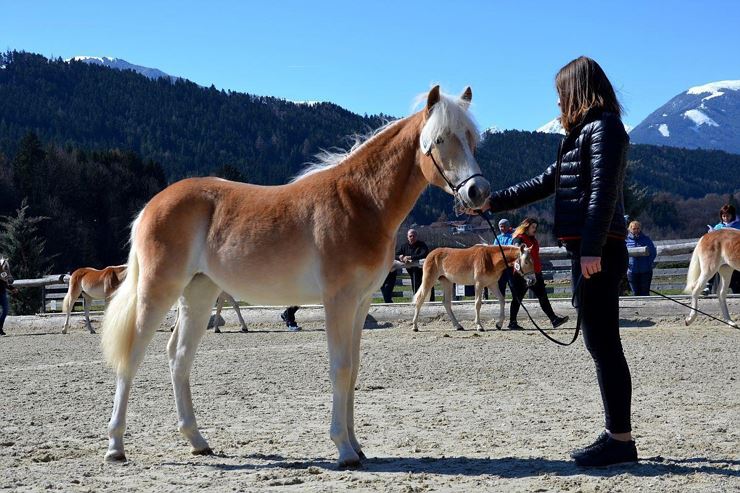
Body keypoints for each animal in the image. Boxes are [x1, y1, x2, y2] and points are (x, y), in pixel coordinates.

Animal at [99, 86, 491, 467]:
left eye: (471, 139)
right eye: (440, 139)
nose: (479, 192)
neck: (359, 202)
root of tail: (152, 205)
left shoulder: (361, 302)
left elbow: (354, 370)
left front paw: (358, 446)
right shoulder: (338, 301)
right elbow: (340, 369)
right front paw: (343, 449)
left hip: (198, 294)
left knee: (179, 357)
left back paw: (198, 442)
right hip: (158, 290)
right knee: (132, 355)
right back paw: (116, 446)